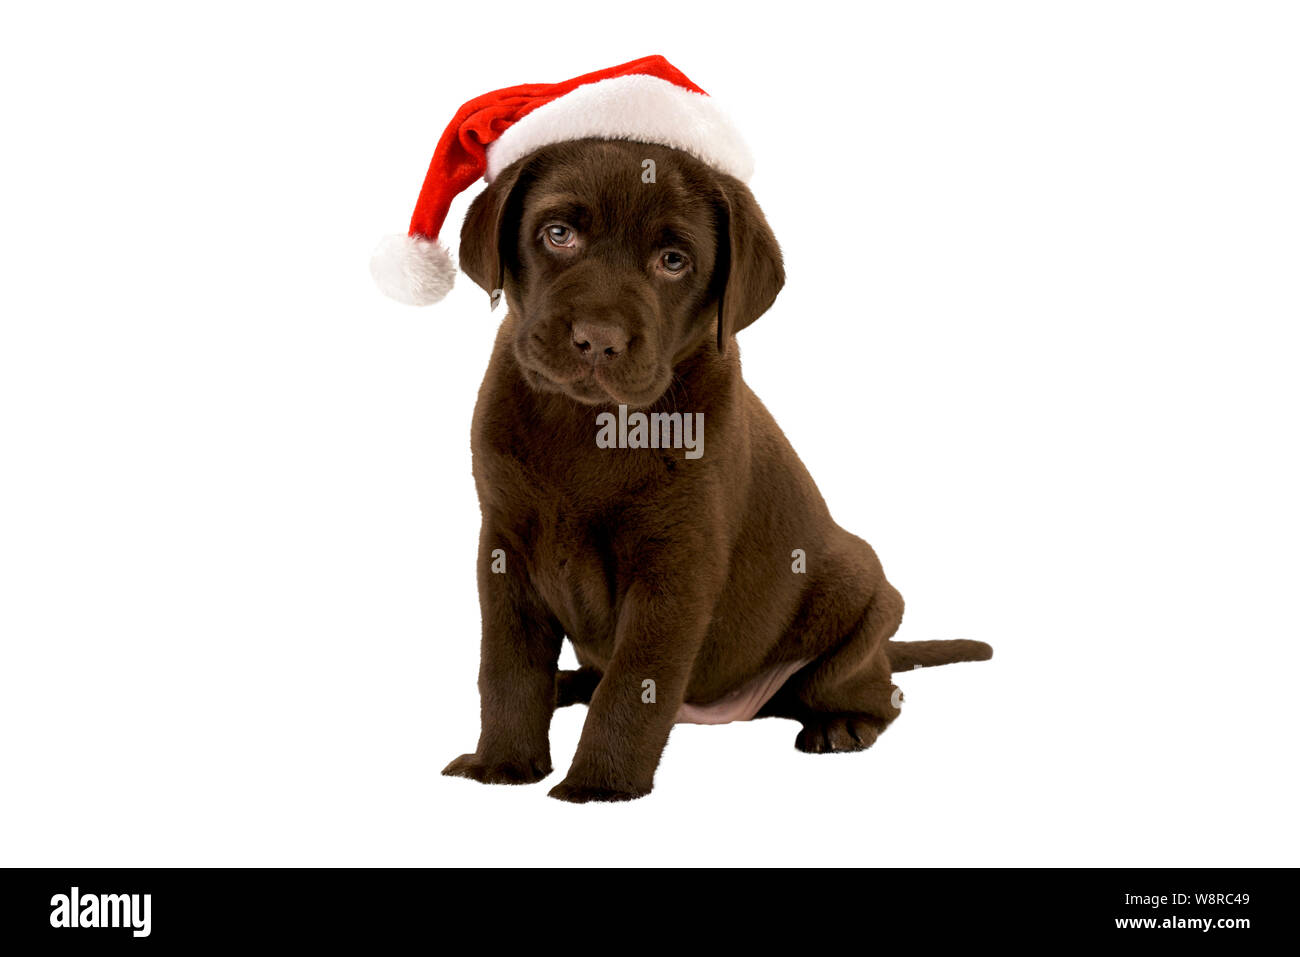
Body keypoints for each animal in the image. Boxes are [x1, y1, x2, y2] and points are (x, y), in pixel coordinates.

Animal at [441, 138, 987, 806]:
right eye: (559, 234)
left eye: (674, 261)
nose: (598, 339)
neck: (590, 424)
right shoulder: (506, 546)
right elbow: (507, 667)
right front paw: (504, 764)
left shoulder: (677, 565)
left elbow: (634, 685)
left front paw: (599, 786)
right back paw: (568, 686)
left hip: (865, 602)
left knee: (876, 692)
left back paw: (842, 725)